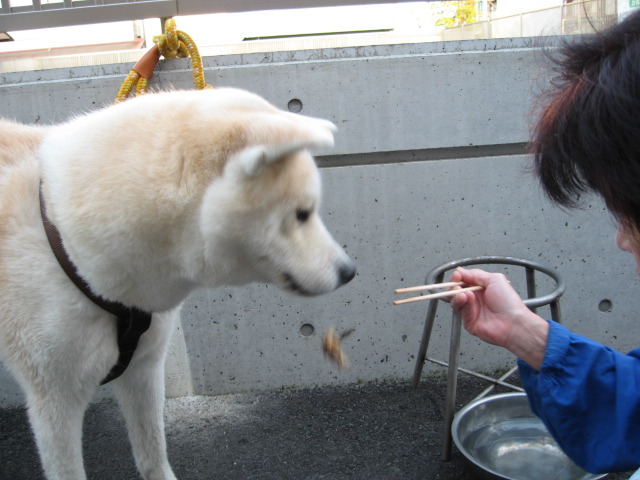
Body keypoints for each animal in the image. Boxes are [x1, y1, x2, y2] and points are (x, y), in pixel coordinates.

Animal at [0, 87, 356, 480]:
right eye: (302, 214)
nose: (349, 271)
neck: (70, 247)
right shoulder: (53, 400)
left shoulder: (143, 368)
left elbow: (153, 454)